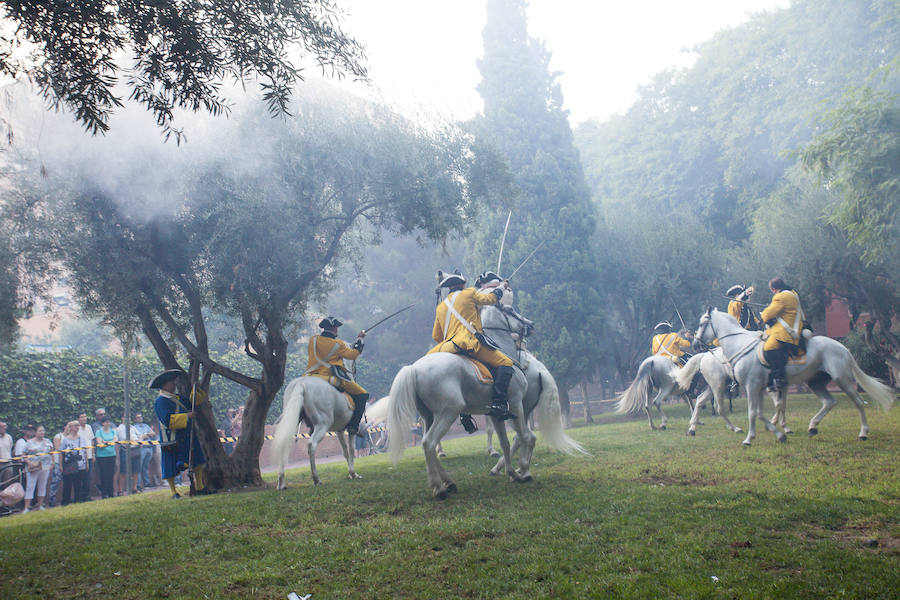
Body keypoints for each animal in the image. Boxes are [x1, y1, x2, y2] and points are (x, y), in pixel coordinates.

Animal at [688, 310, 892, 446]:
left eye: (702, 324)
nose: (695, 344)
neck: (739, 344)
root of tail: (843, 348)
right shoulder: (761, 388)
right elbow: (763, 411)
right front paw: (777, 432)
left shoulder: (756, 387)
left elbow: (758, 411)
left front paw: (753, 437)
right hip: (813, 382)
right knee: (829, 402)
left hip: (841, 380)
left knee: (857, 402)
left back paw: (863, 432)